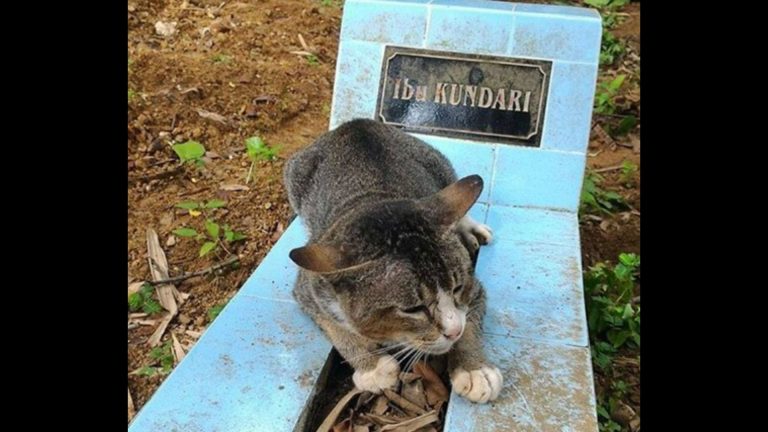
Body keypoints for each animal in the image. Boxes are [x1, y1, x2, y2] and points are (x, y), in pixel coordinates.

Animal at [282, 119, 504, 404]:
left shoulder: (474, 289)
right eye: (413, 309)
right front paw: (372, 367)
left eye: (456, 288)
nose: (452, 331)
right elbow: (335, 328)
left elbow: (470, 320)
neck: (374, 200)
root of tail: (354, 124)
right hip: (294, 175)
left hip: (437, 162)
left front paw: (474, 369)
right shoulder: (309, 288)